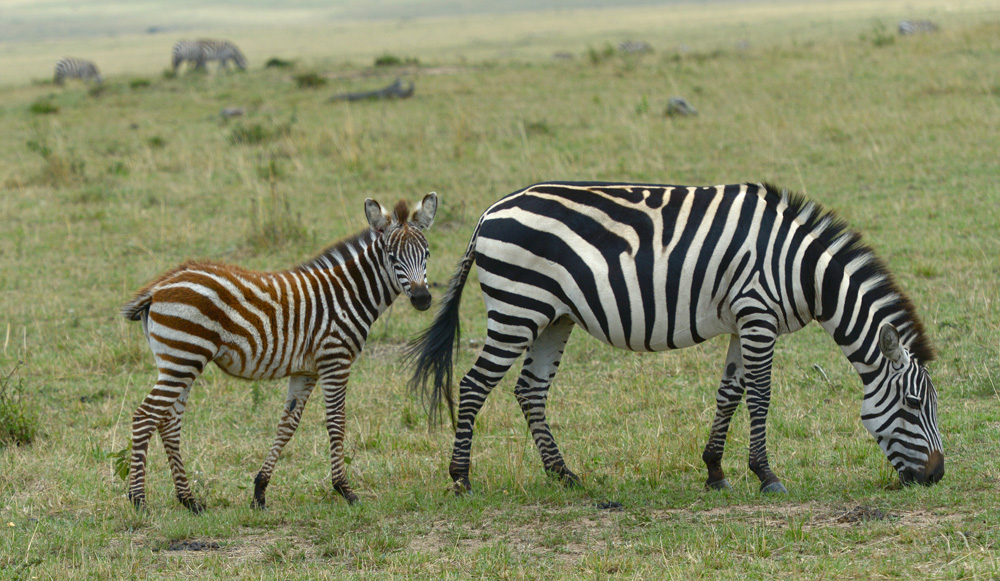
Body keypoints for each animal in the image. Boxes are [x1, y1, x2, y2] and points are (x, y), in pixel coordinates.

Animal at [121, 193, 438, 510]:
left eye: (427, 254)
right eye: (392, 257)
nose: (423, 299)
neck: (348, 295)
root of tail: (159, 287)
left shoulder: (306, 371)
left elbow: (287, 425)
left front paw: (260, 490)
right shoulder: (335, 359)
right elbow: (336, 422)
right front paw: (344, 489)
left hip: (179, 362)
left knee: (169, 423)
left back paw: (189, 500)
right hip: (184, 357)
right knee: (145, 416)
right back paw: (138, 499)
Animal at [406, 180, 944, 494]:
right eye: (915, 405)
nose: (937, 476)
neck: (799, 268)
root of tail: (489, 212)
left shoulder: (742, 319)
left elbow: (730, 393)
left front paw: (715, 471)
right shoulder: (758, 313)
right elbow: (761, 394)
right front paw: (766, 475)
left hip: (553, 316)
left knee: (530, 390)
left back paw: (564, 475)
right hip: (517, 307)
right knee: (474, 385)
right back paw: (461, 478)